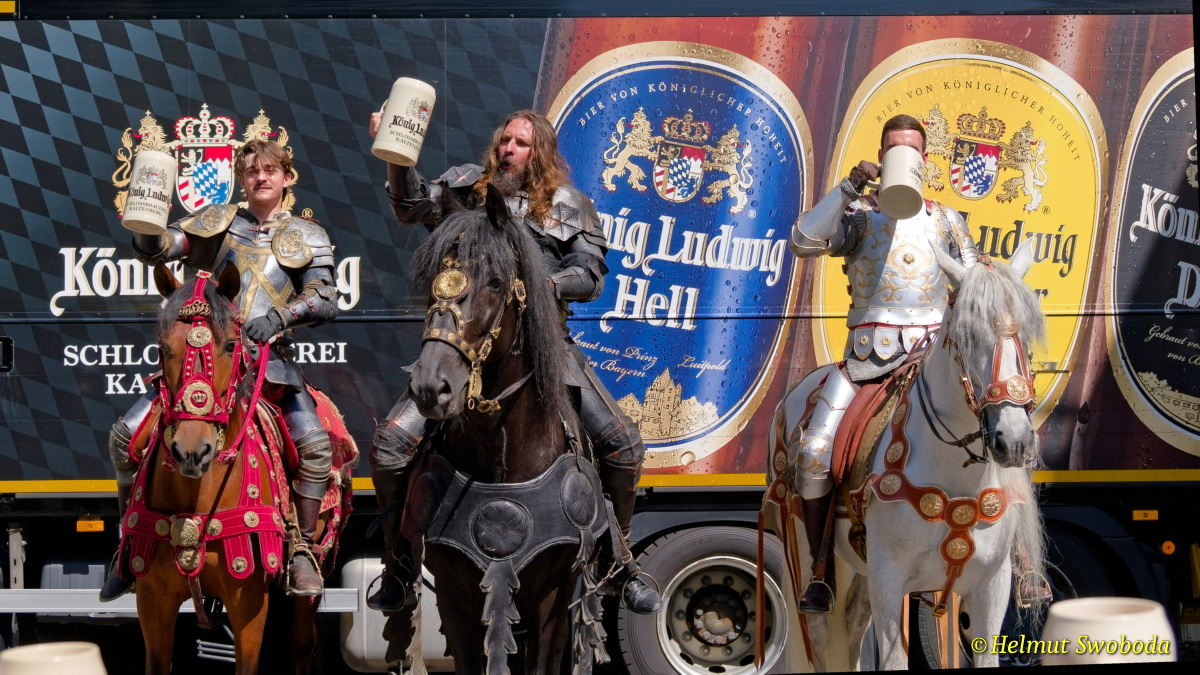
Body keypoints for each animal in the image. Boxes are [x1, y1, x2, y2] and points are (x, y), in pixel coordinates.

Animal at [763, 237, 1047, 670]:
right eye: (967, 336)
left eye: (1026, 337)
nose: (1013, 441)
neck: (957, 475)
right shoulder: (889, 581)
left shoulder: (991, 589)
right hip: (807, 552)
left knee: (852, 627)